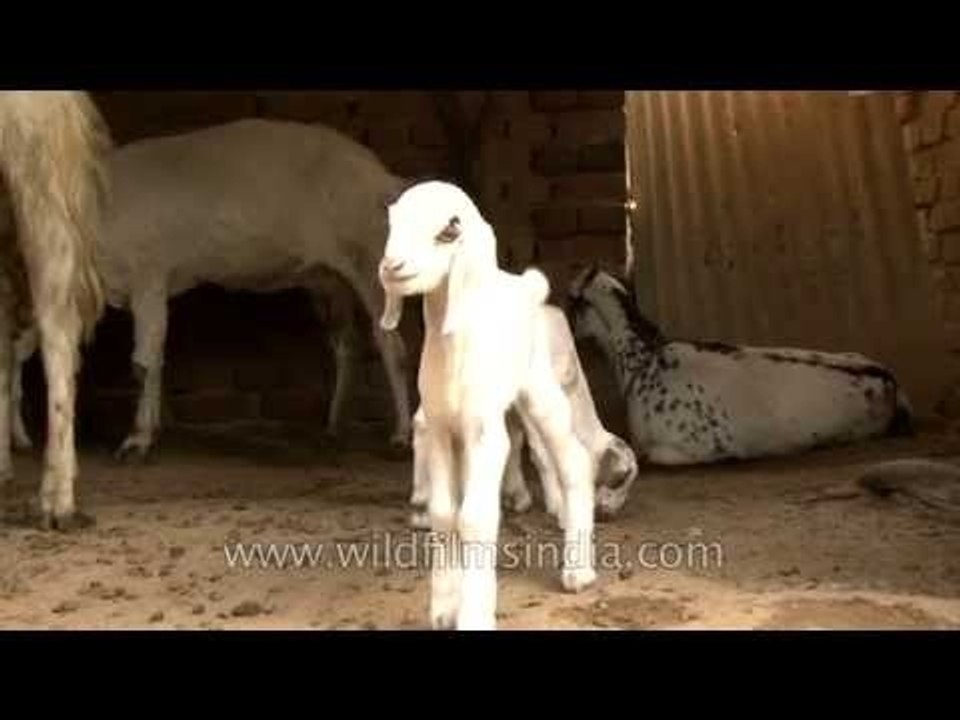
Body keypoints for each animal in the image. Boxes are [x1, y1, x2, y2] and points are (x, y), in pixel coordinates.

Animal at [4, 118, 413, 460]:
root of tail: (384, 178)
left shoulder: (148, 276)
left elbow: (143, 363)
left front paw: (137, 439)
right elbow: (153, 357)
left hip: (370, 261)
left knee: (391, 345)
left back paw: (402, 436)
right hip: (328, 280)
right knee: (347, 346)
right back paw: (335, 427)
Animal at [379, 180, 596, 630]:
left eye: (450, 229)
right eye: (393, 221)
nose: (392, 266)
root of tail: (523, 286)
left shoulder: (485, 435)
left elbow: (476, 517)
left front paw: (474, 614)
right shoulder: (440, 429)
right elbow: (445, 513)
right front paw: (445, 608)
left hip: (539, 389)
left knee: (575, 460)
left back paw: (578, 571)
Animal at [407, 302, 639, 530]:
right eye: (620, 479)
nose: (608, 514)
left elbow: (515, 441)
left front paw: (517, 496)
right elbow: (540, 449)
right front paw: (558, 506)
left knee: (424, 421)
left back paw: (421, 503)